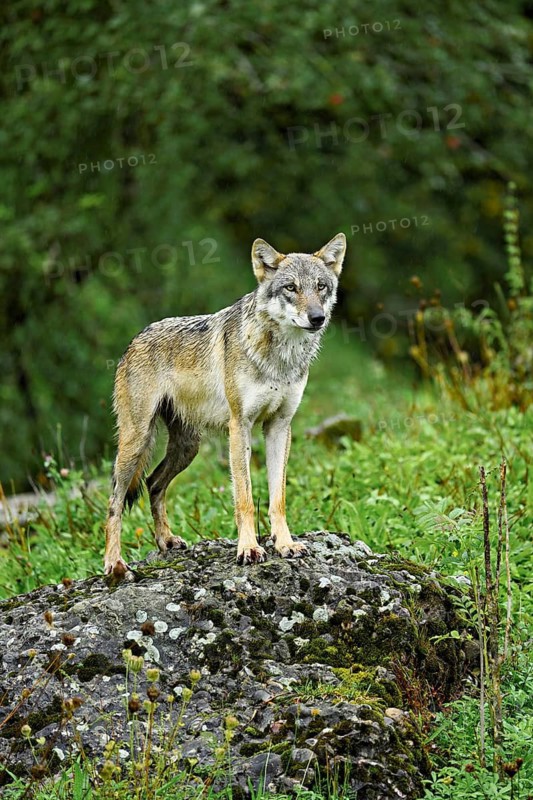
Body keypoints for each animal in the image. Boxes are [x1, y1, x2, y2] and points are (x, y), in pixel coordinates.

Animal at [104, 233, 346, 578]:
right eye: (291, 287)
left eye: (321, 286)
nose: (317, 318)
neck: (280, 358)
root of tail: (133, 340)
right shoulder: (239, 426)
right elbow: (244, 498)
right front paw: (248, 549)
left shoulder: (279, 426)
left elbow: (278, 498)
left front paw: (285, 544)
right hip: (135, 443)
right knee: (115, 501)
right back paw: (114, 563)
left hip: (187, 448)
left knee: (153, 483)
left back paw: (166, 541)